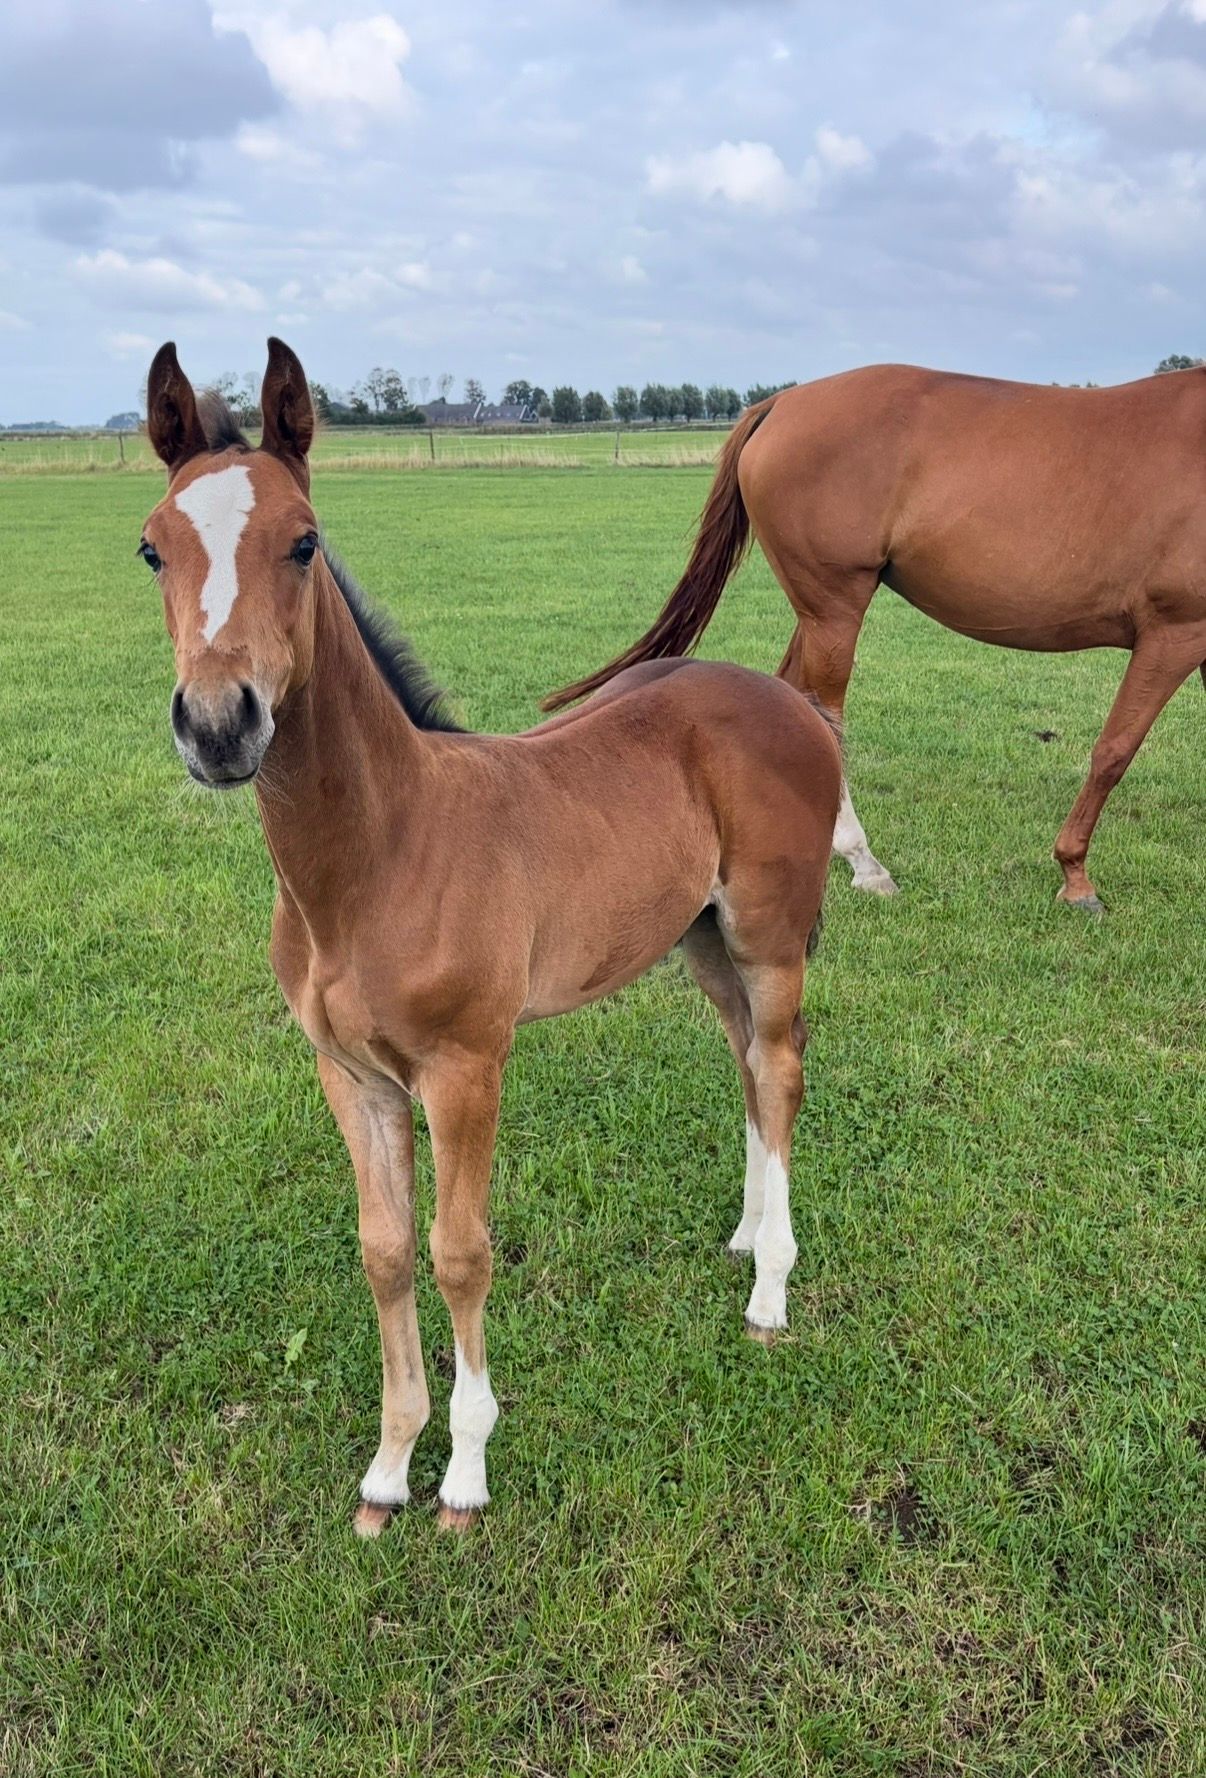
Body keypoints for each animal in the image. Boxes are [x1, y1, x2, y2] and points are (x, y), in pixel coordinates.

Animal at [141, 338, 842, 1533]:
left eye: (304, 541)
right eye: (151, 548)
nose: (221, 724)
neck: (380, 857)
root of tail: (793, 702)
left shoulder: (467, 1067)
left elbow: (459, 1253)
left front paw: (464, 1469)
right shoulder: (353, 1077)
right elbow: (385, 1252)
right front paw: (387, 1466)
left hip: (767, 936)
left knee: (783, 1070)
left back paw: (771, 1290)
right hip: (702, 943)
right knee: (748, 1063)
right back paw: (751, 1235)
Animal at [544, 362, 1206, 912]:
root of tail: (781, 403)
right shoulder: (1174, 634)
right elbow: (1114, 751)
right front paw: (1075, 877)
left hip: (817, 612)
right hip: (834, 606)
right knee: (827, 716)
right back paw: (863, 861)